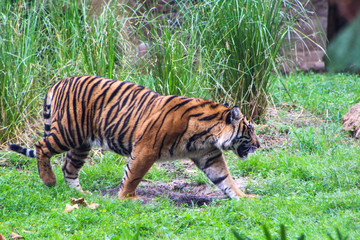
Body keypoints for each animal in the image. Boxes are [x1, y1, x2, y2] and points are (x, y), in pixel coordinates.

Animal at [9, 76, 260, 200]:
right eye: (250, 130)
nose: (259, 145)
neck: (206, 135)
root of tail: (58, 82)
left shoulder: (209, 155)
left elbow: (225, 179)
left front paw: (244, 197)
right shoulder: (146, 149)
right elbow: (133, 175)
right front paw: (127, 198)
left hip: (81, 144)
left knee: (69, 168)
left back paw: (80, 195)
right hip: (68, 132)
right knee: (41, 147)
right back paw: (49, 181)